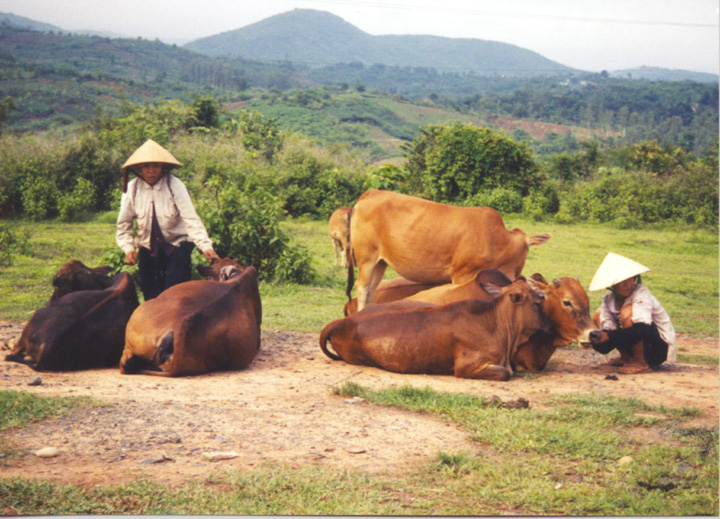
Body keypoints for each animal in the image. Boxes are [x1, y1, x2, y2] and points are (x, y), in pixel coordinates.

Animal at [347, 189, 551, 311]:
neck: (498, 240)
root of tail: (372, 192)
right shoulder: (462, 274)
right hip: (367, 258)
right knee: (363, 289)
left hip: (380, 262)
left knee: (372, 290)